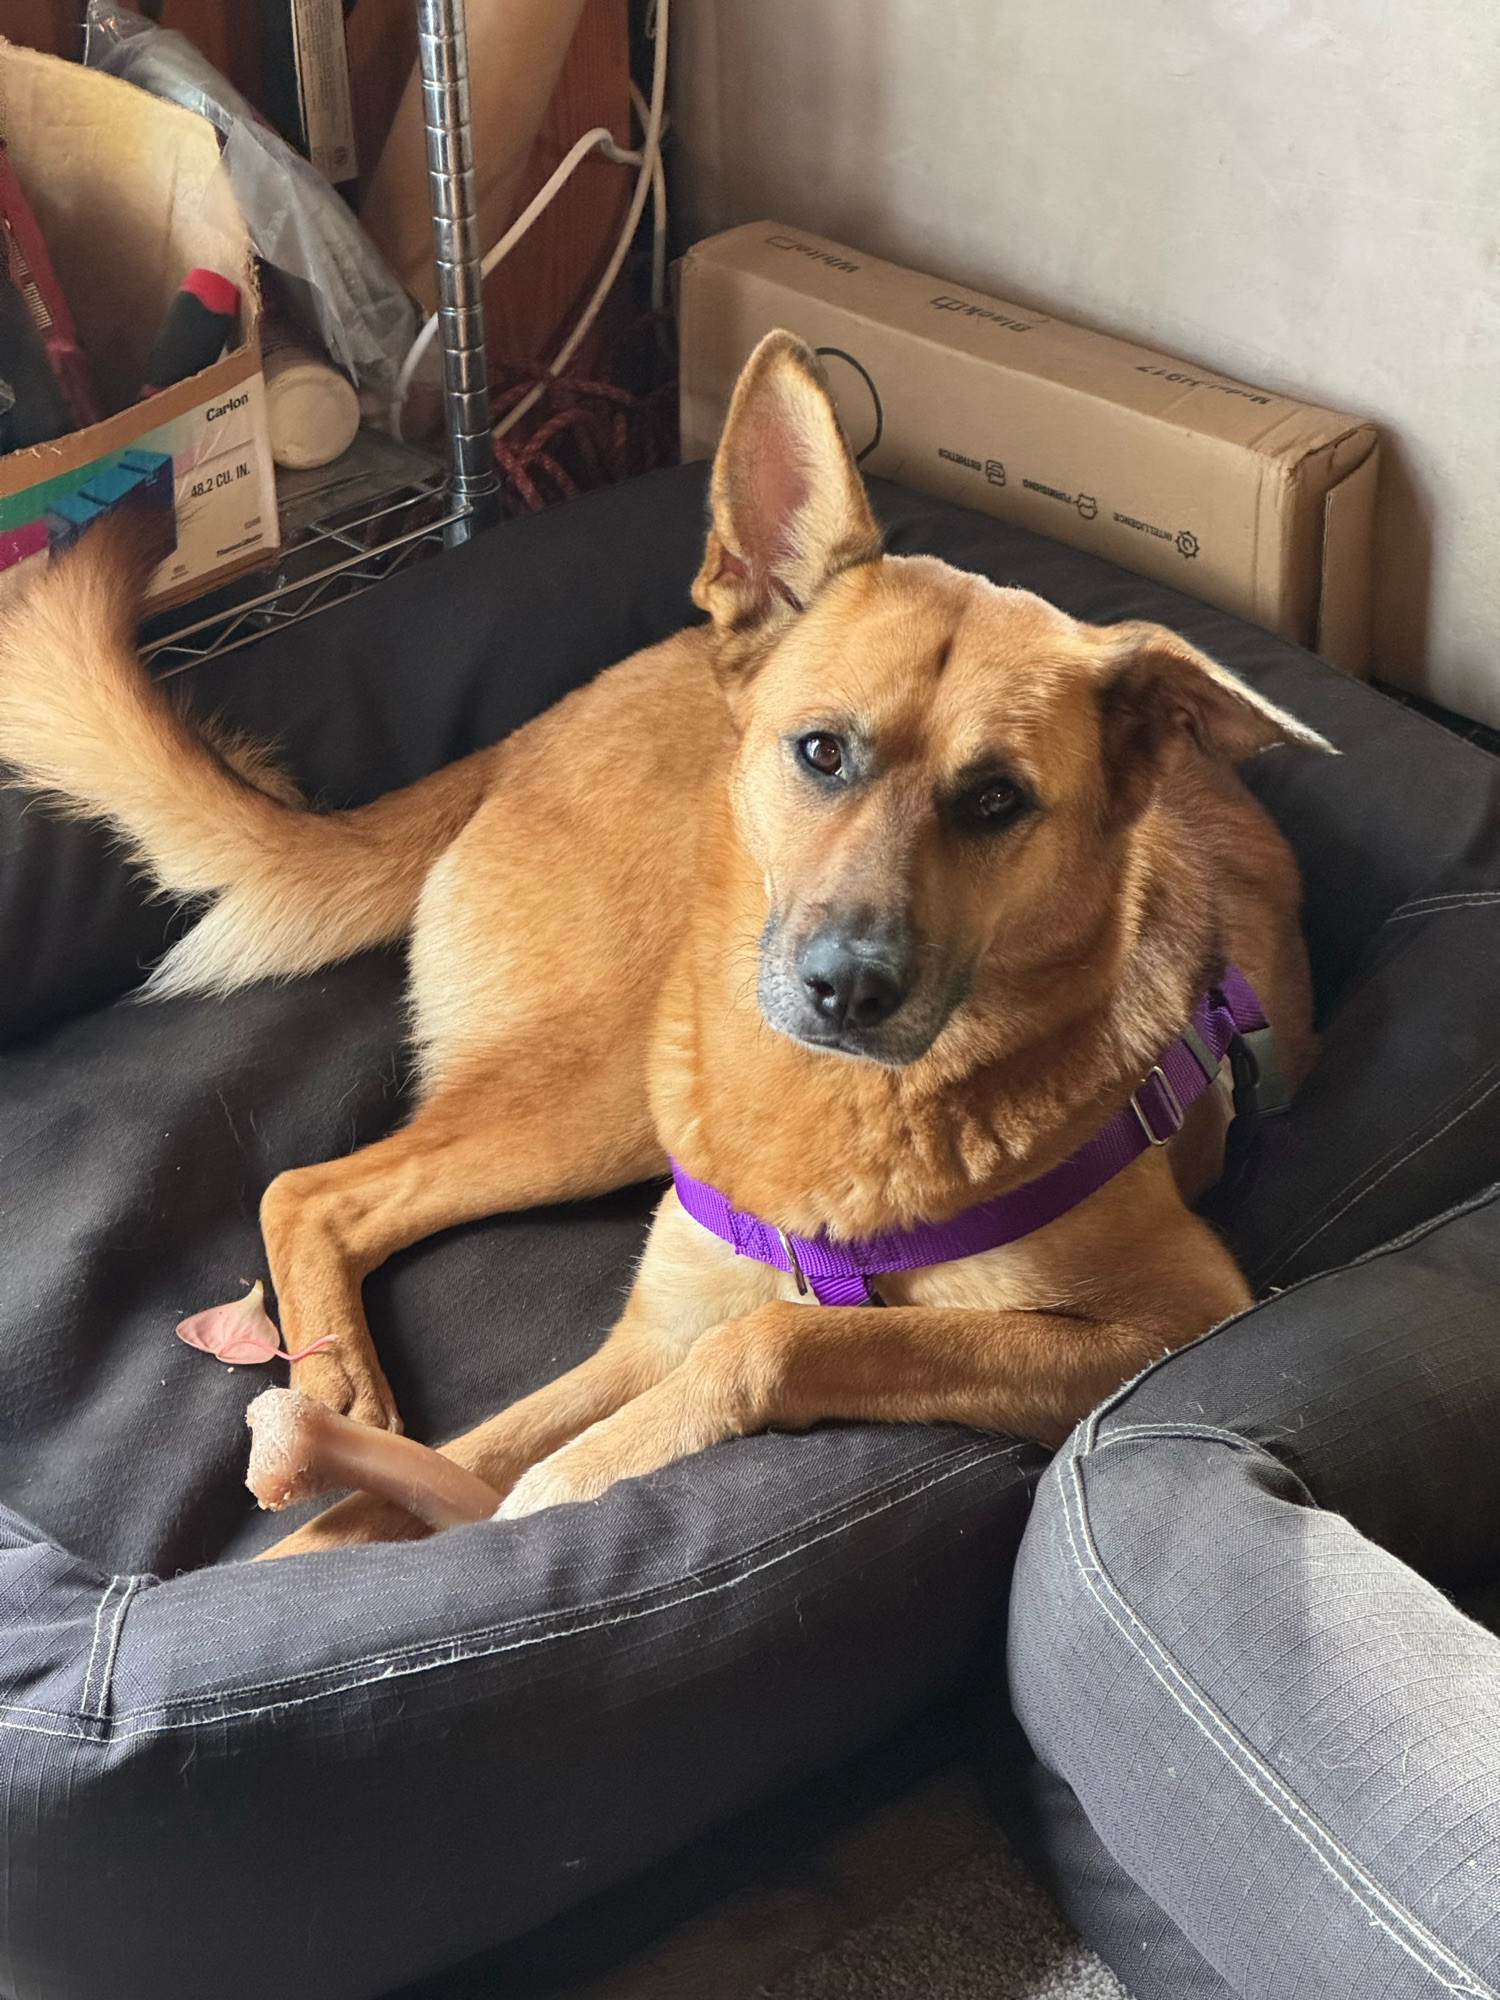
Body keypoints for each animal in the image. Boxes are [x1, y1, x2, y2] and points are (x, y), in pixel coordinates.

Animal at [0, 328, 1328, 1552]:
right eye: (821, 751)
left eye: (997, 800)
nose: (845, 988)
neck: (837, 1114)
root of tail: (525, 737)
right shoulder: (653, 1328)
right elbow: (412, 1487)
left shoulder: (1162, 1324)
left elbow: (775, 1339)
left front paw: (564, 1483)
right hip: (604, 1089)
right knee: (314, 1186)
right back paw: (336, 1384)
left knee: (325, 1193)